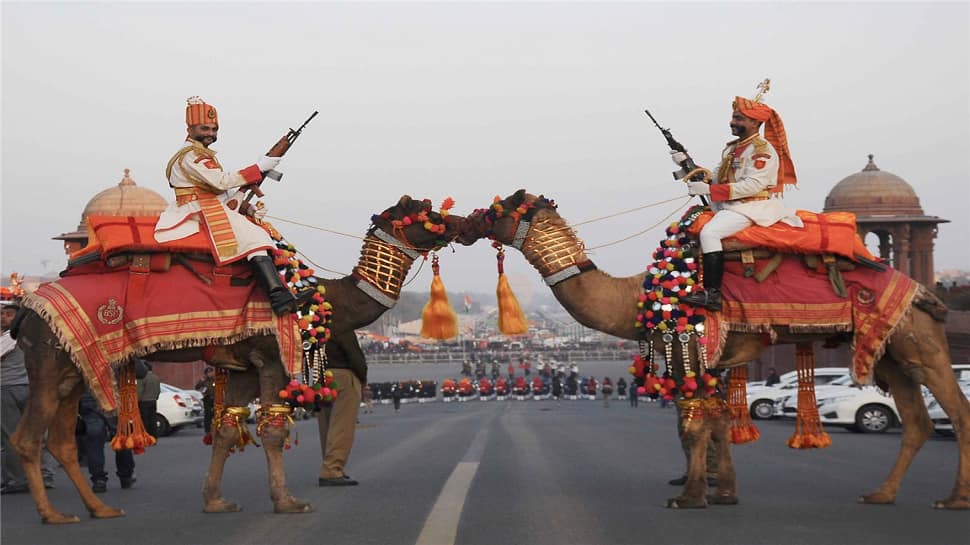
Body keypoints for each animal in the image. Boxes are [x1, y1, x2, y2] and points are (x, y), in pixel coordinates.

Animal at [10, 196, 466, 524]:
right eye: (428, 213)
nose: (467, 223)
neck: (319, 298)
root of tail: (27, 309)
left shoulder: (242, 366)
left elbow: (227, 428)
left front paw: (215, 501)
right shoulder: (272, 357)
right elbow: (273, 432)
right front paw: (287, 501)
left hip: (74, 368)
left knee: (62, 440)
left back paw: (99, 509)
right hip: (50, 359)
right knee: (29, 438)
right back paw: (53, 515)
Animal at [456, 188, 968, 510]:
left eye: (497, 207)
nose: (459, 224)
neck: (635, 295)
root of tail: (923, 291)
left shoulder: (690, 348)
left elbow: (692, 429)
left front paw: (689, 497)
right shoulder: (715, 361)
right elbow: (718, 423)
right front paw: (723, 493)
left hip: (917, 339)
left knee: (956, 411)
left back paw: (954, 499)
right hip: (891, 351)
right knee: (918, 420)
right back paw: (881, 494)